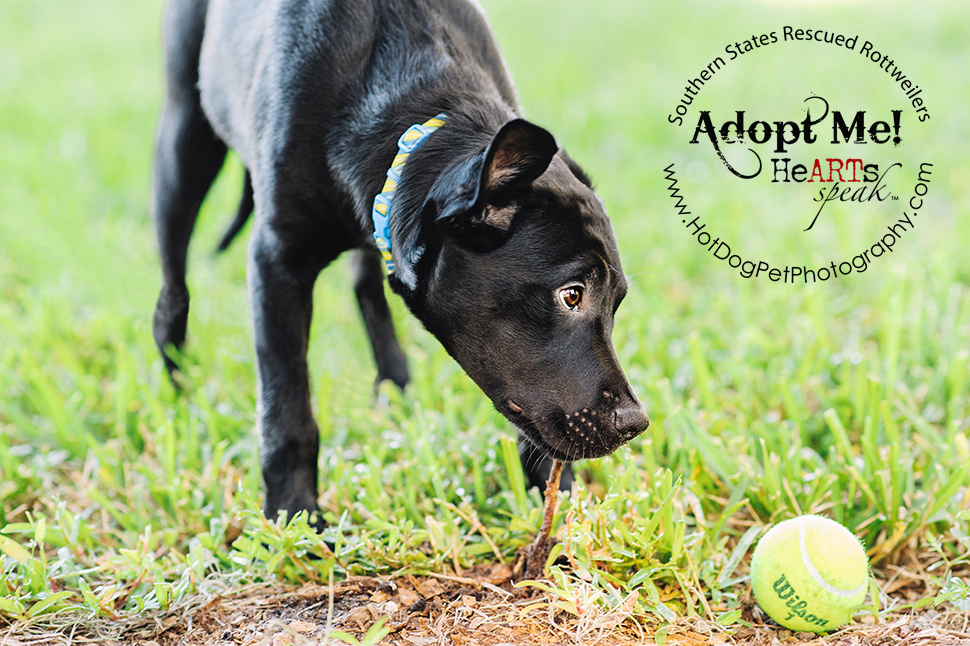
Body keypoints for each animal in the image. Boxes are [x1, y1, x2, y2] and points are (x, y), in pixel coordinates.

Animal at [155, 0, 648, 528]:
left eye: (616, 304)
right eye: (571, 294)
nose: (636, 424)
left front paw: (556, 502)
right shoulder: (276, 259)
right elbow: (288, 409)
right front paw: (294, 518)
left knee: (365, 283)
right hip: (184, 142)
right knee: (172, 292)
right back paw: (176, 388)